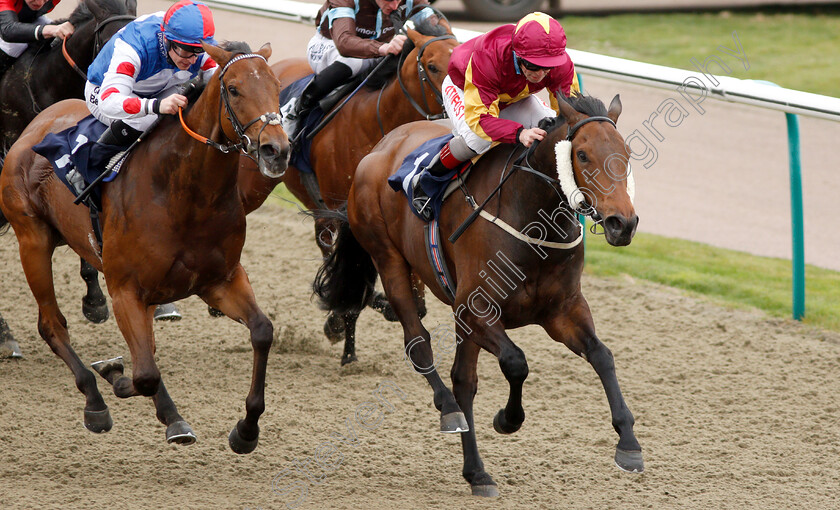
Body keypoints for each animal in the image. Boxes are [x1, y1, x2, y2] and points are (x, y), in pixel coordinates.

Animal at [0, 41, 288, 452]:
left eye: (278, 86)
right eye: (233, 89)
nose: (276, 150)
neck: (185, 193)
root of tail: (33, 128)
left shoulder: (221, 280)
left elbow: (262, 331)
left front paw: (246, 430)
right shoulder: (125, 290)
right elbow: (144, 374)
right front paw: (112, 372)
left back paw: (172, 418)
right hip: (33, 239)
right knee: (52, 325)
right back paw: (95, 400)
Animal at [236, 9, 460, 364]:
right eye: (433, 66)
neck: (378, 122)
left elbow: (412, 299)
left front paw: (351, 327)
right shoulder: (340, 210)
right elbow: (351, 276)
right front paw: (344, 337)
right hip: (254, 186)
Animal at [314, 93, 644, 496]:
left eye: (626, 153)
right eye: (582, 155)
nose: (622, 223)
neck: (532, 218)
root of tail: (378, 148)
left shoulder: (563, 311)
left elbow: (602, 356)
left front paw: (629, 445)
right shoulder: (474, 310)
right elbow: (516, 362)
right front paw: (507, 418)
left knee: (462, 379)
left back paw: (476, 472)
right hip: (389, 259)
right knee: (419, 344)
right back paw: (449, 410)